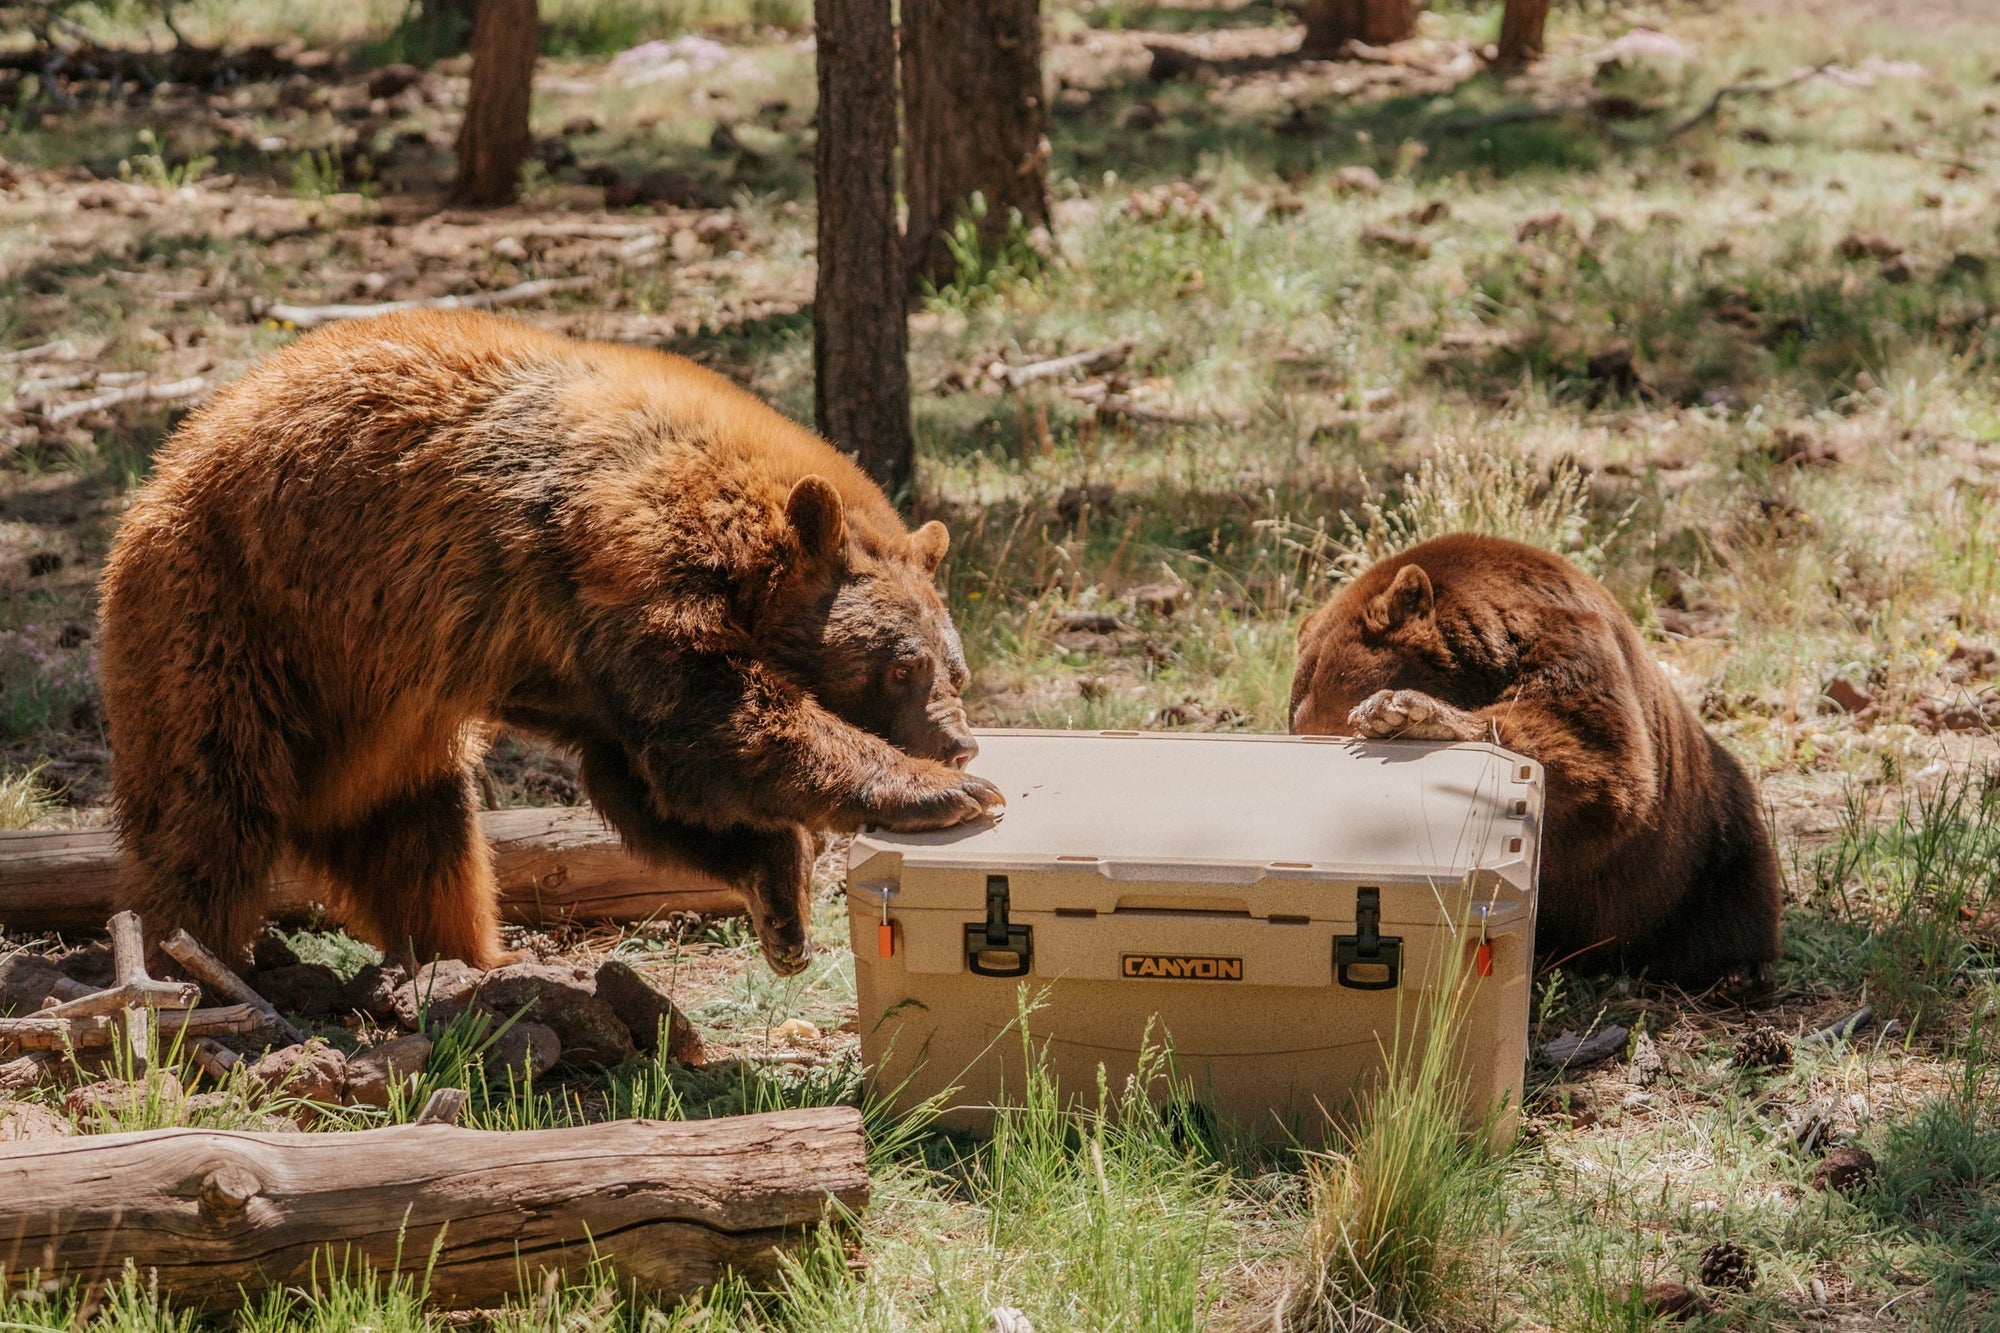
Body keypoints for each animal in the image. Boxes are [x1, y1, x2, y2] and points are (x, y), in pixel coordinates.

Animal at [98, 309, 1003, 976]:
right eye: (903, 664)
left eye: (956, 666)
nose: (958, 741)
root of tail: (157, 479)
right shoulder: (623, 571)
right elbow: (723, 727)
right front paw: (947, 792)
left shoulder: (587, 665)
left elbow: (647, 782)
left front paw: (781, 900)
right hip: (231, 616)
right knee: (208, 810)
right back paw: (194, 960)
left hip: (378, 714)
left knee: (422, 836)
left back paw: (469, 954)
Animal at [1289, 533, 1780, 991]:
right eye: (1296, 724)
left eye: (1331, 719)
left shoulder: (1566, 637)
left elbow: (1600, 757)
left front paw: (1406, 712)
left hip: (1701, 839)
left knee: (1735, 886)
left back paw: (1740, 968)